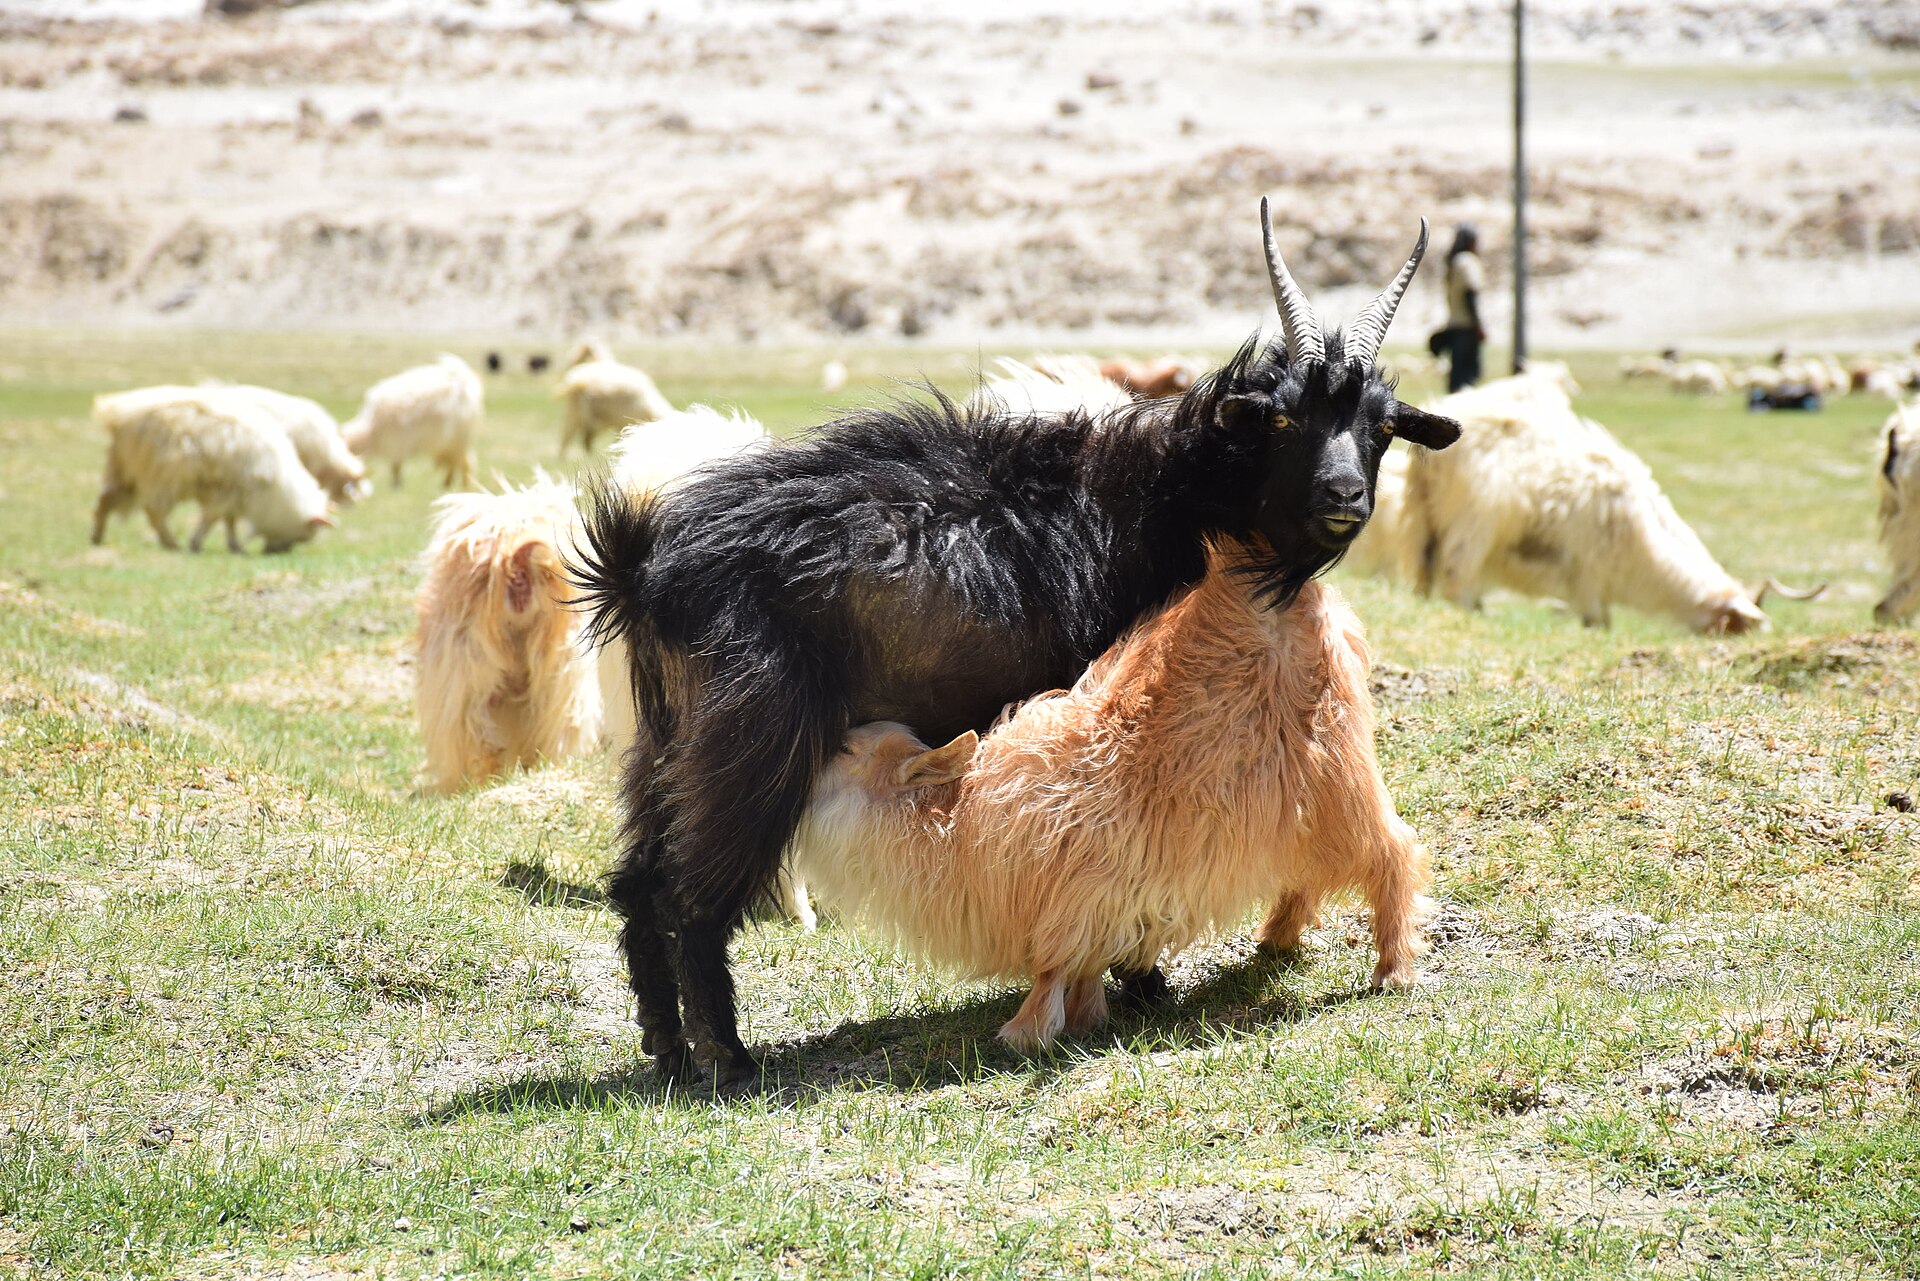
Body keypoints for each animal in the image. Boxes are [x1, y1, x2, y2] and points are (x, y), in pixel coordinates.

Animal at [794, 557, 1428, 1051]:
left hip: (1338, 783)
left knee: (1393, 852)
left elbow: (1051, 968)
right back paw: (1276, 939)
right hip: (1292, 810)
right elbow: (1081, 968)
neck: (957, 825)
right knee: (1305, 875)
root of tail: (1315, 603)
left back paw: (1393, 970)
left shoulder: (1077, 898)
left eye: (846, 748)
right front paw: (1085, 1017)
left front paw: (1026, 1032)